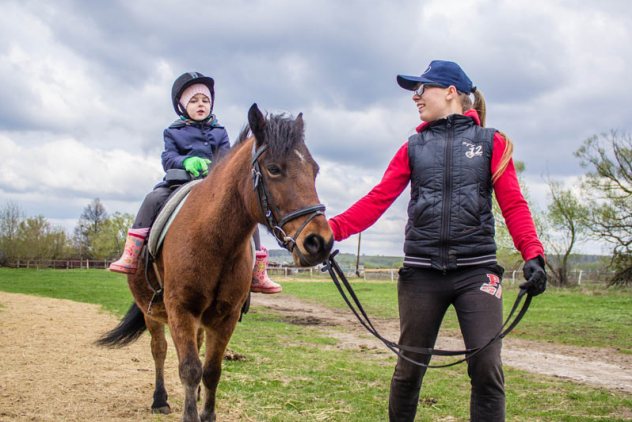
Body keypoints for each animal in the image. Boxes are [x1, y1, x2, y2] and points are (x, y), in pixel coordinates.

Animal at [96, 103, 334, 422]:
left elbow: (210, 371)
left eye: (314, 170)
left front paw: (205, 412)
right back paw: (160, 399)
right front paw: (188, 412)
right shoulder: (180, 310)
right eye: (274, 169)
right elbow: (189, 368)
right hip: (152, 313)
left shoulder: (225, 317)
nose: (319, 242)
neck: (214, 240)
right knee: (159, 349)